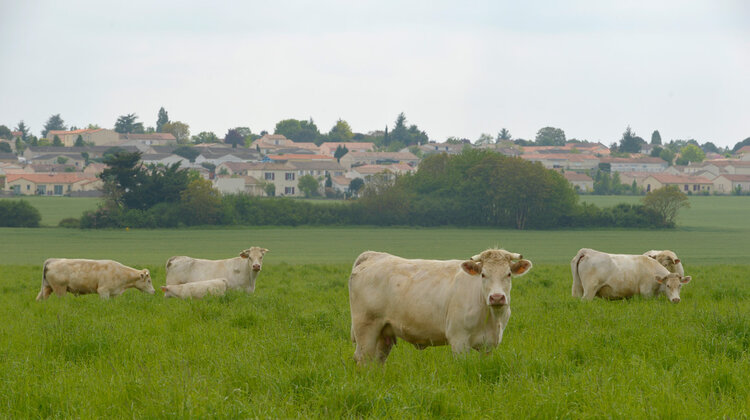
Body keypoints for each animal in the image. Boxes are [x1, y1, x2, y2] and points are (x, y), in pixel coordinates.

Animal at [348, 249, 532, 364]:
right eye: (483, 274)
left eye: (508, 274)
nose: (497, 297)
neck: (491, 318)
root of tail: (374, 255)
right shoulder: (459, 340)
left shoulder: (489, 345)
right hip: (366, 328)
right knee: (362, 358)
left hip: (384, 332)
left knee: (377, 360)